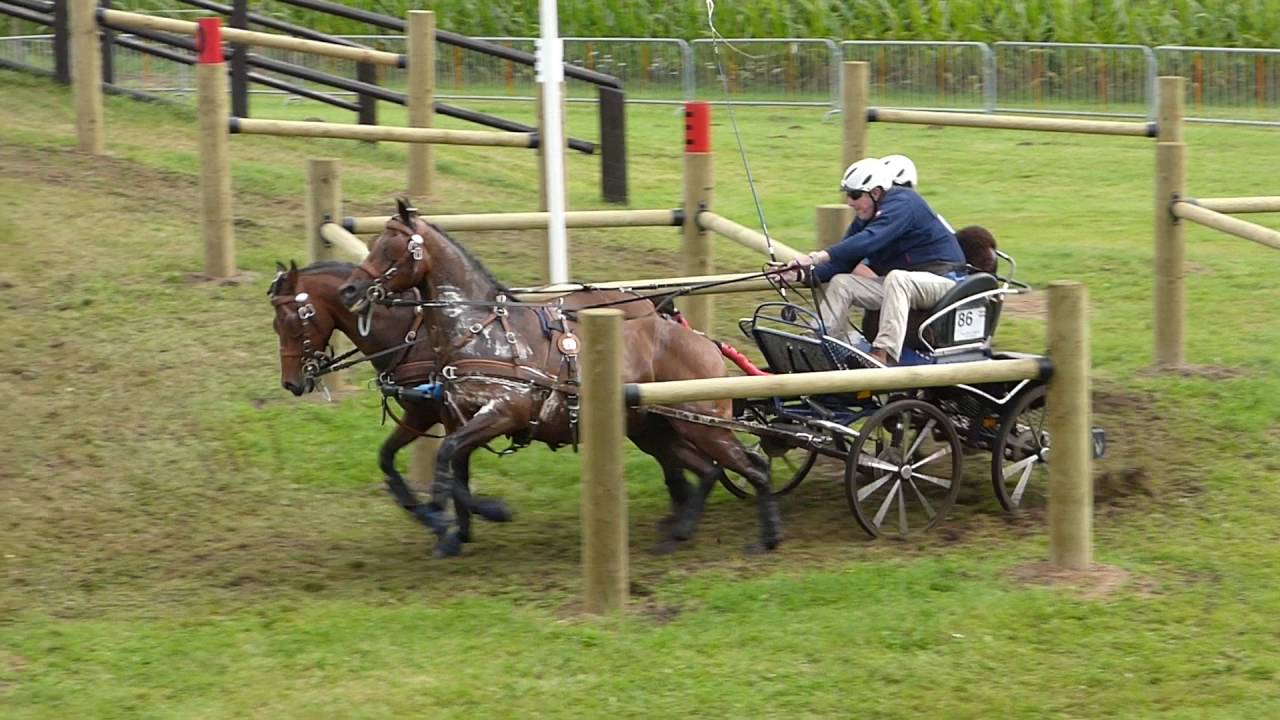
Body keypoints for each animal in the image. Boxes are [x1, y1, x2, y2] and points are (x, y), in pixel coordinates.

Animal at [337, 199, 778, 556]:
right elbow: (453, 464)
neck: (479, 330)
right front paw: (455, 527)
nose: (350, 289)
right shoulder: (457, 417)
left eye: (391, 247)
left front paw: (473, 511)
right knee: (709, 471)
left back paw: (767, 538)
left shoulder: (504, 411)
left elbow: (447, 458)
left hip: (704, 425)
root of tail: (704, 342)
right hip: (657, 429)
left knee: (753, 466)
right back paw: (678, 534)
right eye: (374, 243)